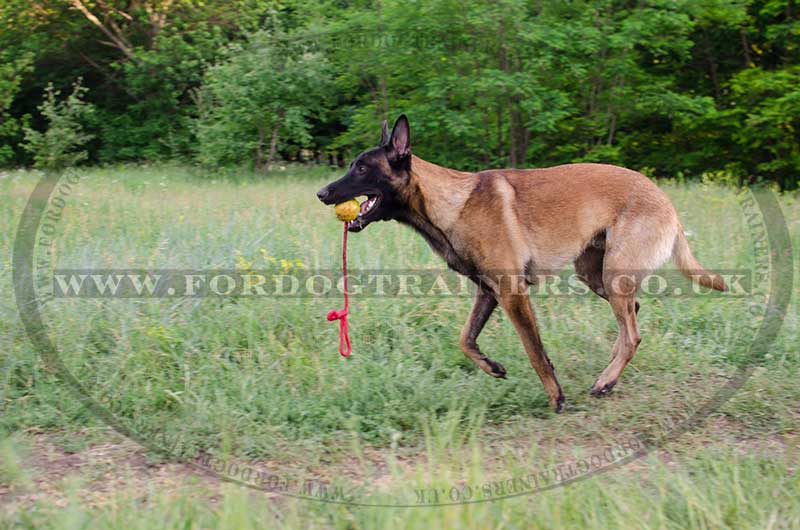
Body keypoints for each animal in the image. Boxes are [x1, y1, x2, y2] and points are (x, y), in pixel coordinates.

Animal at [316, 113, 728, 410]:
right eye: (352, 165)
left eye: (362, 168)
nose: (321, 193)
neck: (451, 203)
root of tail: (666, 201)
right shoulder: (488, 292)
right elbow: (465, 339)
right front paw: (493, 367)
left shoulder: (513, 294)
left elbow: (535, 352)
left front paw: (557, 399)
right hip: (595, 274)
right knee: (633, 319)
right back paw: (610, 371)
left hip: (613, 275)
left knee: (633, 333)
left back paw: (606, 380)